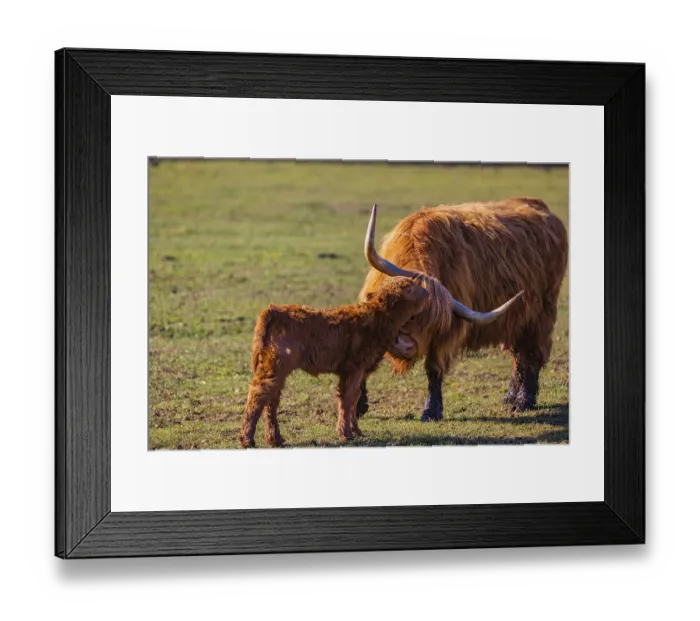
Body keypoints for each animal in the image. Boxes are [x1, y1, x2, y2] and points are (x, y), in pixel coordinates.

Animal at [239, 276, 429, 448]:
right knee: (259, 394)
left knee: (271, 400)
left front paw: (356, 431)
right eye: (409, 288)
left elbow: (354, 398)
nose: (427, 291)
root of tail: (274, 310)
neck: (377, 319)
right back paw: (247, 440)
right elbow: (347, 398)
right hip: (275, 366)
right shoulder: (354, 368)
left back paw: (275, 439)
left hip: (277, 369)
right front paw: (346, 434)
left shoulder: (359, 370)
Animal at [358, 198, 568, 420]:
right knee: (519, 355)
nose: (405, 345)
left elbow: (433, 369)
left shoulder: (446, 334)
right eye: (402, 309)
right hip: (517, 319)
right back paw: (510, 395)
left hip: (542, 313)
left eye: (431, 325)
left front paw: (431, 411)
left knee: (533, 353)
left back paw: (523, 401)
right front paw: (359, 406)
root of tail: (540, 206)